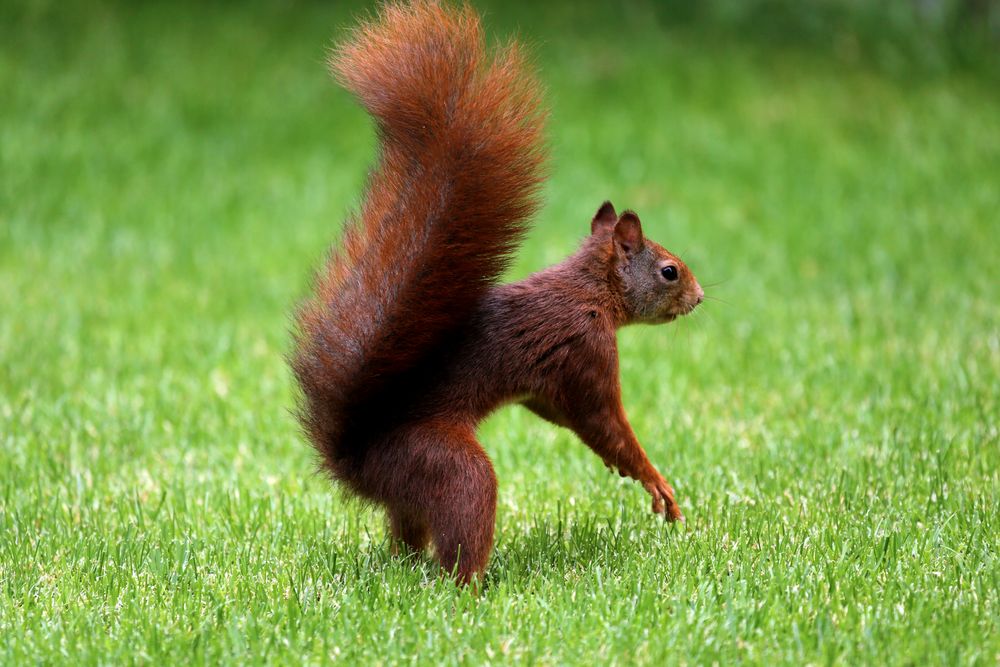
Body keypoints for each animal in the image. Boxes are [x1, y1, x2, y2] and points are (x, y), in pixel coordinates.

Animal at [291, 0, 704, 585]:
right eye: (670, 271)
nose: (699, 297)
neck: (590, 292)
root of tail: (353, 455)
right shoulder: (587, 349)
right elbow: (604, 420)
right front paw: (651, 478)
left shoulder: (550, 384)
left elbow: (561, 413)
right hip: (443, 463)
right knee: (465, 517)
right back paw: (471, 585)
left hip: (408, 490)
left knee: (406, 531)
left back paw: (404, 565)